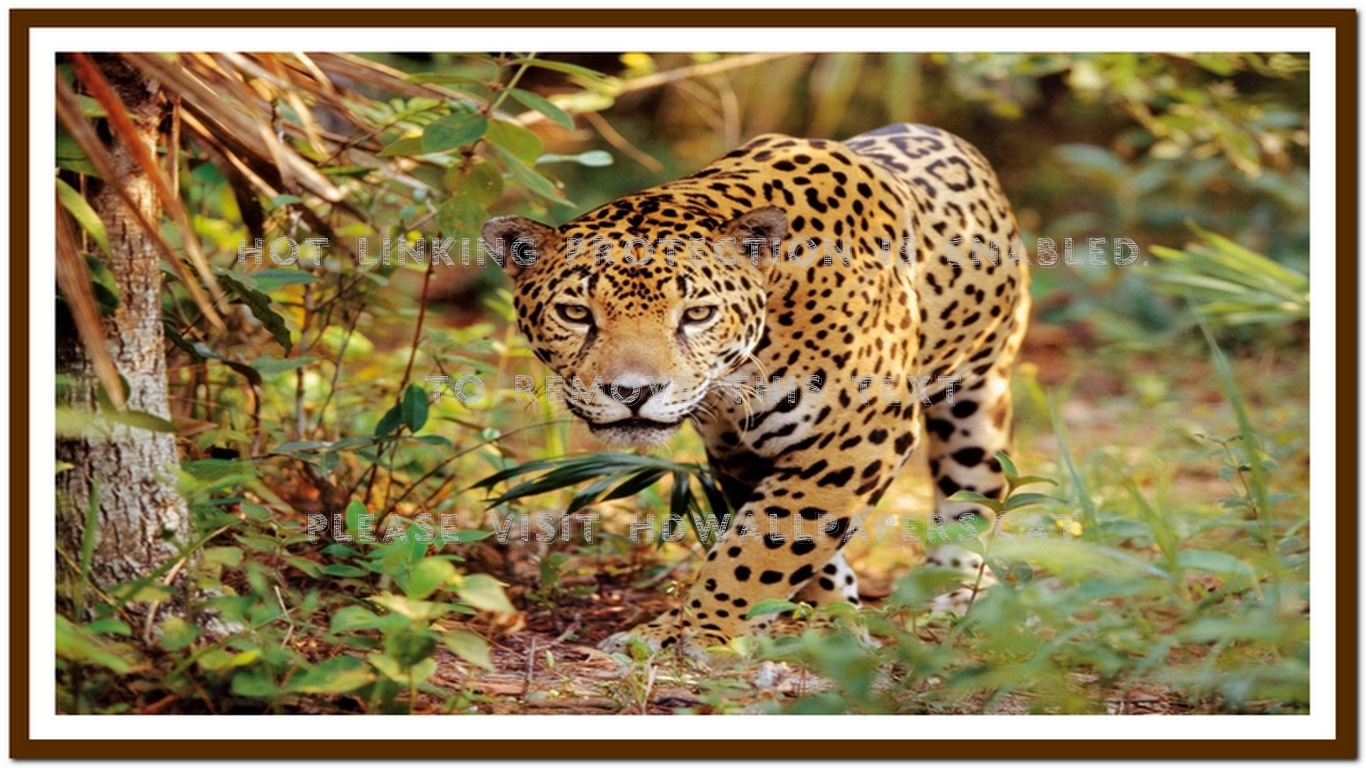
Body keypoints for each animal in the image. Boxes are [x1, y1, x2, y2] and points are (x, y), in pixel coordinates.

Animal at [482, 123, 1030, 660]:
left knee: (973, 497)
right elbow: (788, 538)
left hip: (979, 401)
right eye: (576, 313)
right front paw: (825, 618)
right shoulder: (738, 451)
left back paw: (952, 594)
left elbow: (763, 546)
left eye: (697, 314)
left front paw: (694, 633)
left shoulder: (860, 436)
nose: (632, 392)